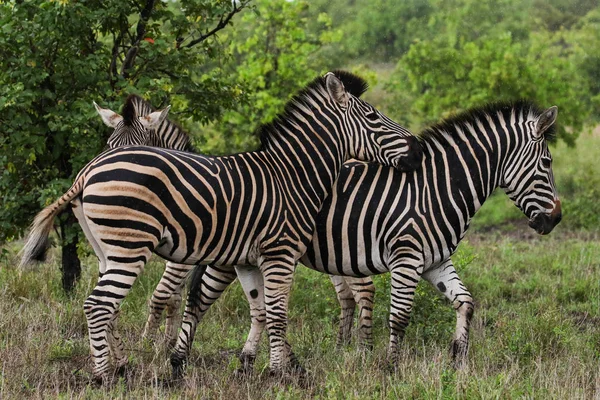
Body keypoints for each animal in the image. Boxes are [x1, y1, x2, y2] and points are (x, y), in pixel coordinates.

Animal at [18, 70, 422, 382]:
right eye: (373, 118)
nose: (416, 150)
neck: (292, 174)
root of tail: (86, 174)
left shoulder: (245, 259)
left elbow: (258, 311)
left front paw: (258, 366)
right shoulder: (278, 253)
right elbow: (275, 314)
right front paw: (279, 373)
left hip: (110, 252)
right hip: (129, 249)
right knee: (99, 305)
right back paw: (106, 375)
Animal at [179, 101, 564, 372]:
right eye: (547, 163)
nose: (555, 220)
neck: (438, 188)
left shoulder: (436, 260)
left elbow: (465, 303)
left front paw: (458, 359)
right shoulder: (407, 258)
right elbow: (399, 317)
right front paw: (390, 369)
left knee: (258, 308)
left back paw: (251, 363)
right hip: (230, 252)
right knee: (199, 299)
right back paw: (180, 362)